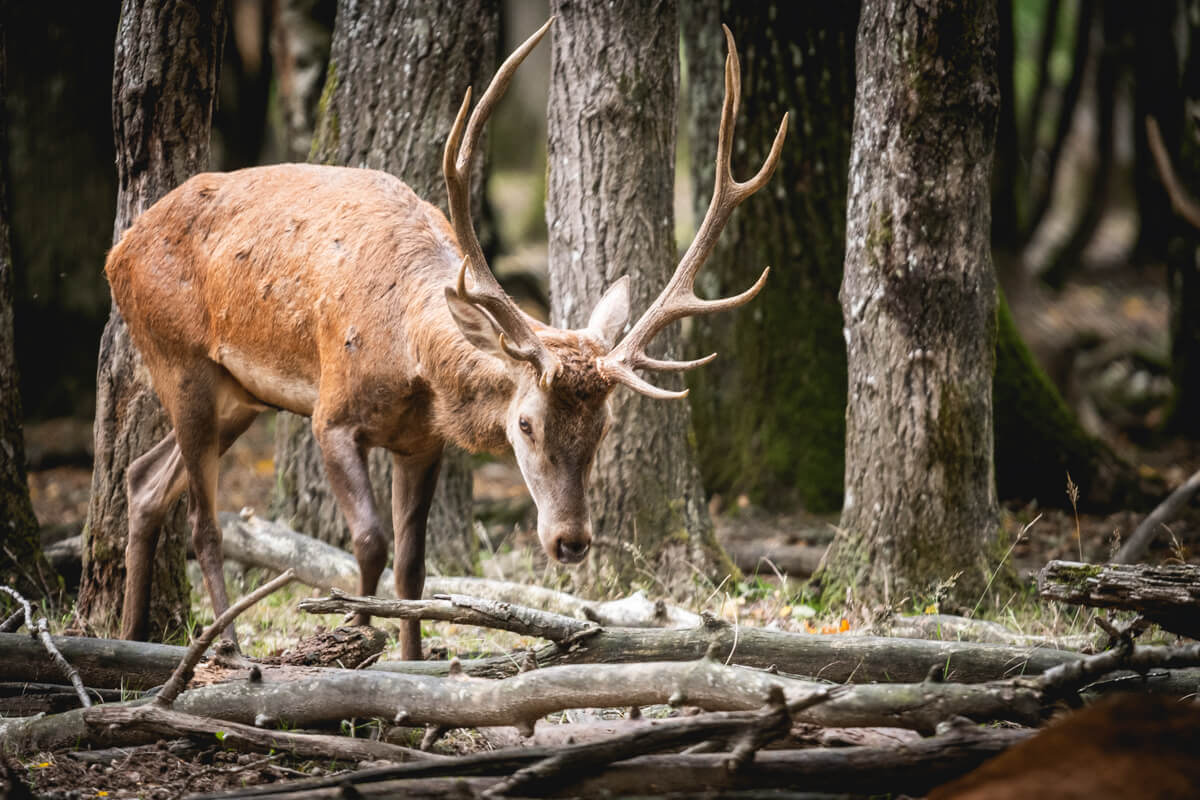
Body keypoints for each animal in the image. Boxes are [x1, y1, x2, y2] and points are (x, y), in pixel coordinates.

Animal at [110, 18, 787, 662]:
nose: (570, 541)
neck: (411, 358)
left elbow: (413, 563)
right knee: (202, 522)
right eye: (525, 424)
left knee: (144, 482)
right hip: (181, 361)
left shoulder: (422, 443)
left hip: (239, 396)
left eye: (603, 429)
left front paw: (411, 659)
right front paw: (354, 637)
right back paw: (220, 643)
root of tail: (119, 251)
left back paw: (130, 633)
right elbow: (370, 541)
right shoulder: (331, 415)